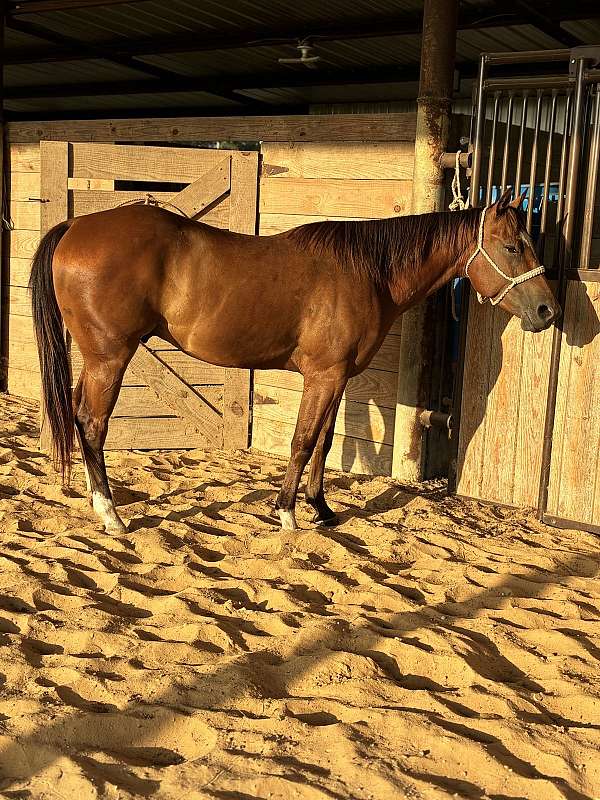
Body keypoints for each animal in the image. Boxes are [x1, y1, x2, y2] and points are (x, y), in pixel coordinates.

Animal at [29, 188, 560, 533]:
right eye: (513, 246)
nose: (547, 311)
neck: (367, 272)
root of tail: (76, 225)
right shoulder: (322, 376)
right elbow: (303, 441)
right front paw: (286, 512)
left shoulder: (338, 377)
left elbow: (324, 441)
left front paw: (321, 509)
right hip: (110, 356)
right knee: (92, 422)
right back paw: (111, 514)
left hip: (98, 358)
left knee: (77, 415)